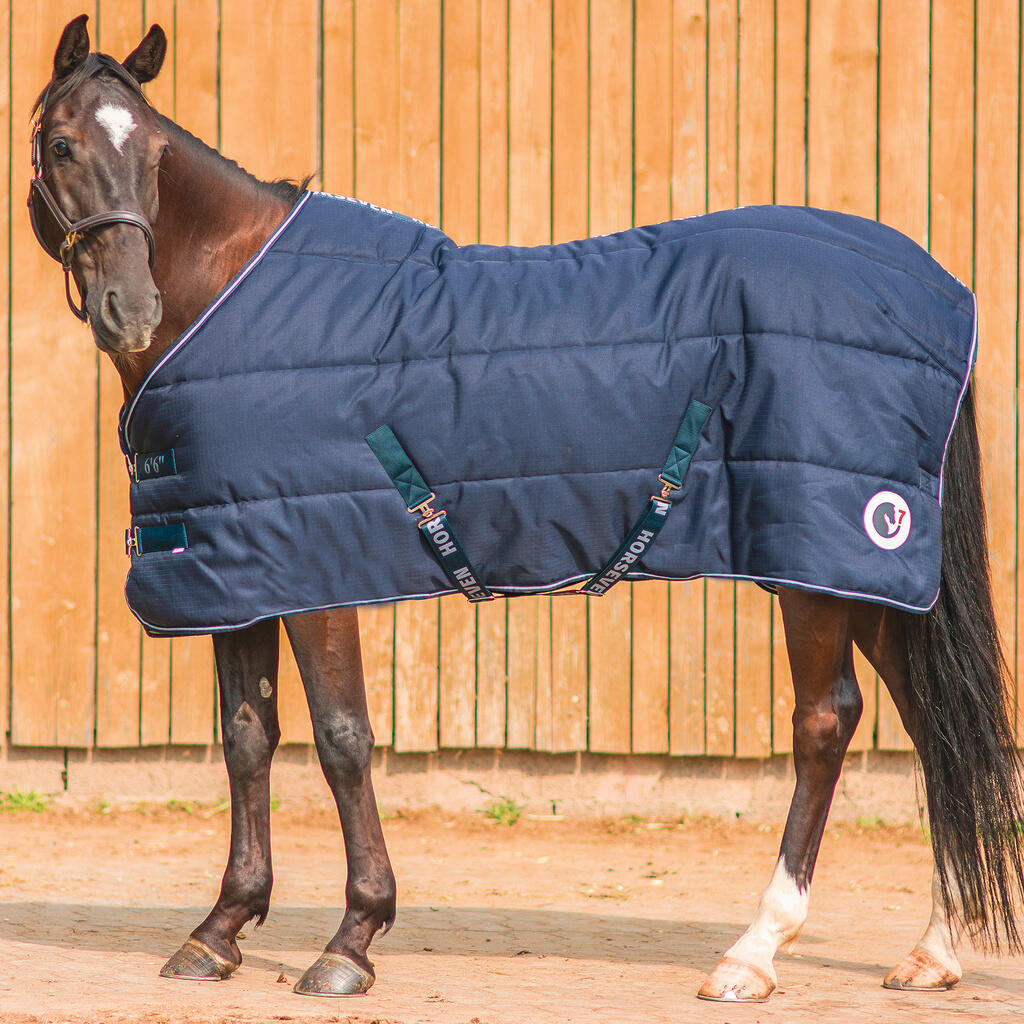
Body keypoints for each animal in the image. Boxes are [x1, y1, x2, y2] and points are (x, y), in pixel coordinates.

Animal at [27, 15, 1024, 1003]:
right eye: (63, 144)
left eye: (157, 154)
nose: (129, 307)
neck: (233, 299)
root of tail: (934, 289)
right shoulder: (235, 570)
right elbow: (247, 740)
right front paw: (220, 929)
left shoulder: (315, 570)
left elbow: (343, 740)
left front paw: (352, 940)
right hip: (870, 580)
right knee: (933, 727)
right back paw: (933, 951)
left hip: (821, 567)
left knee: (826, 722)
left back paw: (754, 954)